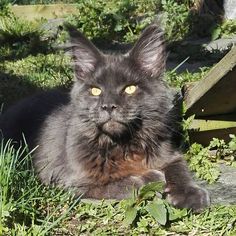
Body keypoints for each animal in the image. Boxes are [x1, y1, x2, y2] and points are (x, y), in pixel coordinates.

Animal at [0, 24, 210, 211]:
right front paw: (153, 178)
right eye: (95, 90)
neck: (123, 145)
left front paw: (191, 194)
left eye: (129, 88)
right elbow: (129, 182)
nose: (108, 106)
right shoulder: (72, 183)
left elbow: (180, 170)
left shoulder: (169, 155)